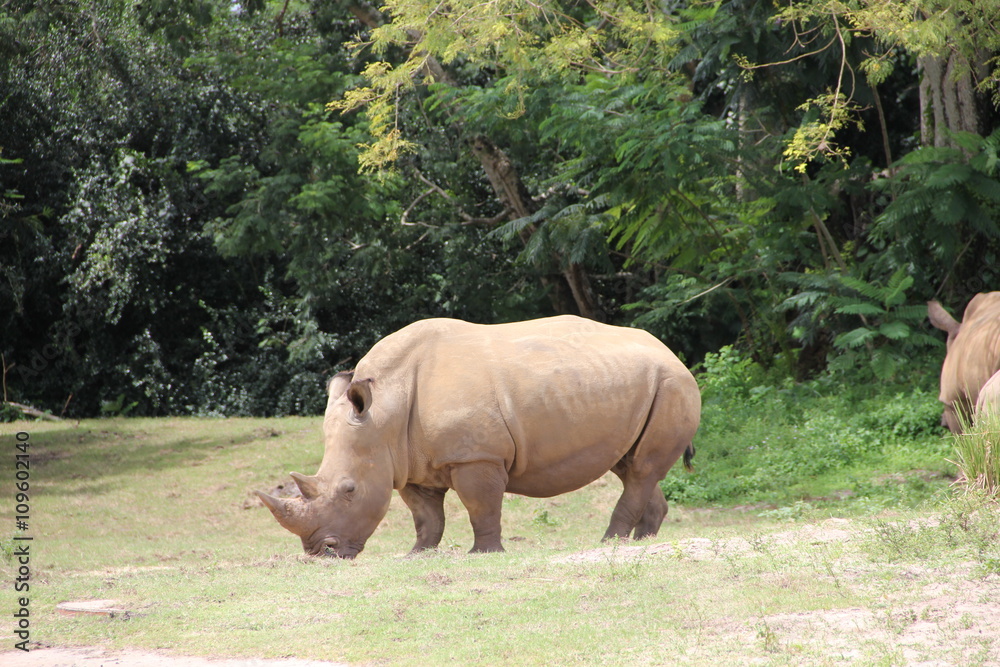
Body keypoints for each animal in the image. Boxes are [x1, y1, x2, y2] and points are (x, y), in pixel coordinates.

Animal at [256, 315, 701, 558]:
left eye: (349, 490)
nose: (321, 553)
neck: (384, 410)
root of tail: (674, 355)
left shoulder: (476, 456)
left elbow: (480, 506)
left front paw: (484, 553)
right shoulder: (408, 462)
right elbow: (426, 517)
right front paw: (417, 555)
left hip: (673, 384)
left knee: (640, 470)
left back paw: (608, 544)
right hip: (638, 385)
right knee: (631, 466)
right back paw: (639, 543)